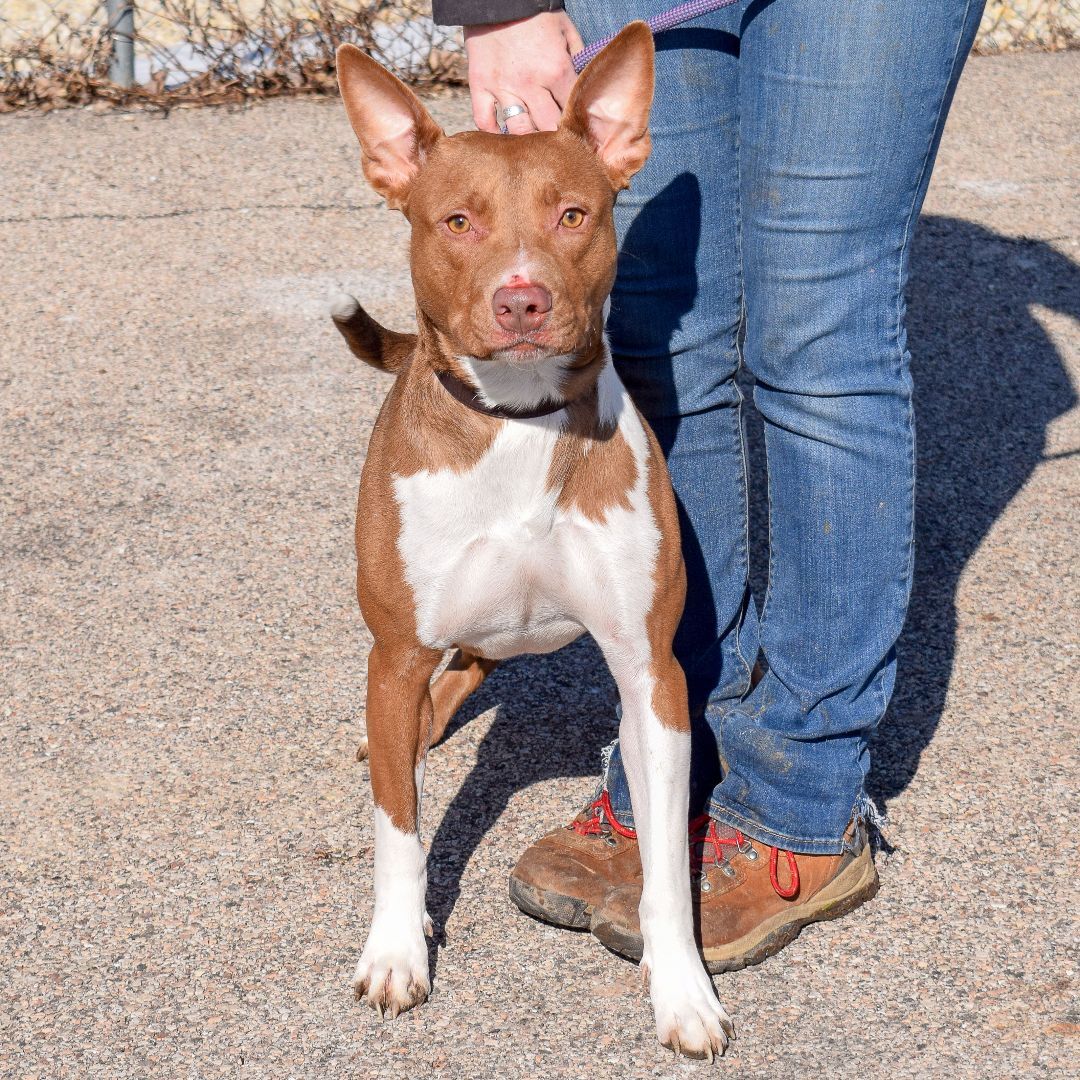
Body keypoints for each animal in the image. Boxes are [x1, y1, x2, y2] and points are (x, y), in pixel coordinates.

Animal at [328, 23, 734, 1054]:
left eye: (574, 215)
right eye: (457, 222)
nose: (522, 301)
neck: (517, 422)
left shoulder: (651, 671)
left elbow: (666, 863)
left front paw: (683, 990)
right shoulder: (394, 651)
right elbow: (400, 832)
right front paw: (397, 951)